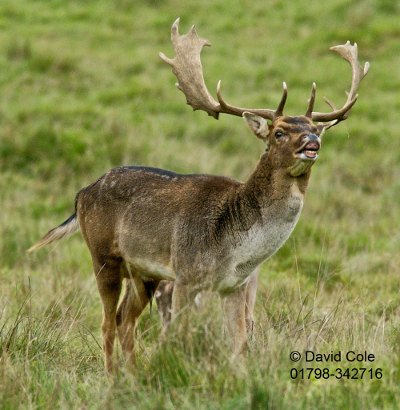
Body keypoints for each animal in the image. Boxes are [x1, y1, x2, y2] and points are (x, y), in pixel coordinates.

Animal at [28, 19, 368, 372]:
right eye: (279, 132)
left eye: (312, 127)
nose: (312, 142)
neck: (233, 245)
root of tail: (81, 193)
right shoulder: (186, 274)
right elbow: (179, 335)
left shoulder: (235, 285)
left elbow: (240, 343)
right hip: (103, 255)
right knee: (108, 321)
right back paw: (113, 377)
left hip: (143, 272)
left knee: (125, 319)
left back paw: (132, 374)